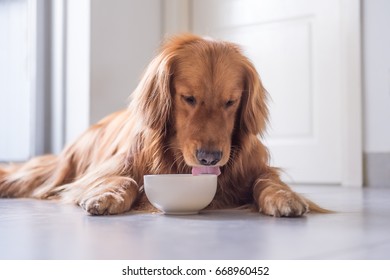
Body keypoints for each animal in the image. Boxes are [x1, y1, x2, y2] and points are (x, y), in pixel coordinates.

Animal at [0, 33, 326, 217]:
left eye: (231, 102)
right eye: (188, 98)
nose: (210, 158)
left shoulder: (256, 168)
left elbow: (266, 181)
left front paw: (285, 197)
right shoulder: (110, 168)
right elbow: (127, 180)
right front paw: (107, 196)